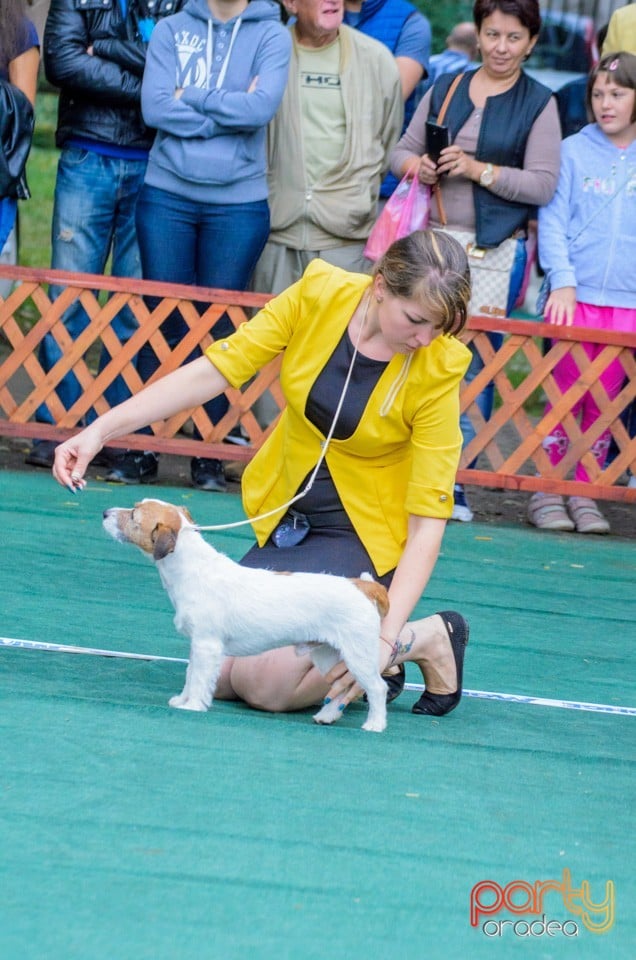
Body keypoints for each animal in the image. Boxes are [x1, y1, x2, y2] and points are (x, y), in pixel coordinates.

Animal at [102, 498, 390, 732]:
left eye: (133, 515)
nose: (105, 512)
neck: (191, 567)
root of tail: (361, 586)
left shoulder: (206, 645)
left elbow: (198, 678)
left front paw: (192, 705)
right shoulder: (198, 646)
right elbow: (190, 673)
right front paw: (182, 699)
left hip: (357, 653)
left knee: (377, 688)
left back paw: (375, 724)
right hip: (327, 655)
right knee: (344, 687)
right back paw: (327, 715)